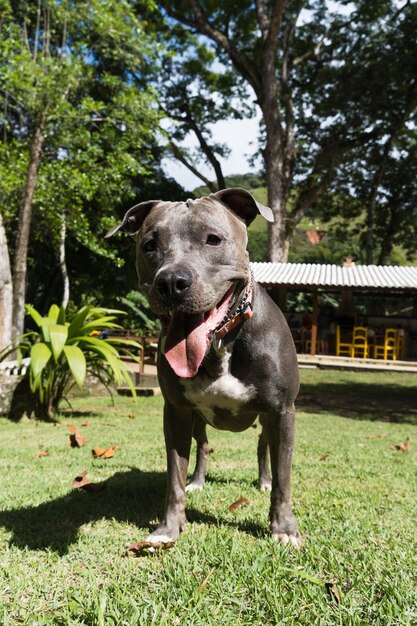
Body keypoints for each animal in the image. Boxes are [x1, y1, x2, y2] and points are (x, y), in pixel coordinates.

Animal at [105, 186, 300, 544]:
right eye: (149, 245)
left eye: (213, 239)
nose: (171, 281)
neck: (221, 342)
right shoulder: (177, 412)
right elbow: (174, 477)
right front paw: (168, 528)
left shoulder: (282, 411)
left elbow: (284, 476)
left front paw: (283, 528)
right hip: (197, 418)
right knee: (204, 446)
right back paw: (197, 480)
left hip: (267, 419)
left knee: (263, 448)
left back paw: (263, 480)